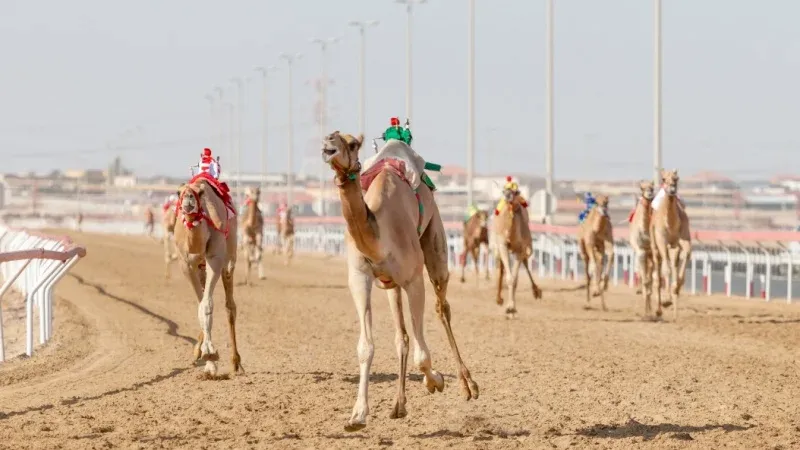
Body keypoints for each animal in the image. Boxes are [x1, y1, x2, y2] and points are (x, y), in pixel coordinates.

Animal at [173, 175, 241, 377]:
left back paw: (235, 362)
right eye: (178, 193)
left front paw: (210, 354)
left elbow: (207, 304)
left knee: (230, 306)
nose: (188, 199)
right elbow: (200, 305)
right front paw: (208, 360)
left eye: (201, 193)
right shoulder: (186, 265)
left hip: (229, 258)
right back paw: (198, 351)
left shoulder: (215, 259)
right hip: (200, 268)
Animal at [321, 131, 479, 432]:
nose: (329, 145)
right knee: (402, 335)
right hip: (389, 284)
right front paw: (357, 415)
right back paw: (399, 405)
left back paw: (468, 385)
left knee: (442, 308)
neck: (379, 237)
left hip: (435, 241)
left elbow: (422, 354)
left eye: (353, 143)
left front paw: (436, 381)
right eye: (329, 138)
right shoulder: (359, 278)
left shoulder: (414, 279)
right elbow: (366, 346)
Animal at [650, 169, 692, 321]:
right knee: (658, 271)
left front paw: (677, 287)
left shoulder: (683, 240)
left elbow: (686, 255)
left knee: (673, 263)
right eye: (663, 179)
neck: (671, 223)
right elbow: (665, 270)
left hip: (673, 248)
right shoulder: (662, 241)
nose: (672, 190)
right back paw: (659, 310)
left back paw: (674, 311)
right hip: (655, 247)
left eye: (676, 178)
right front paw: (666, 300)